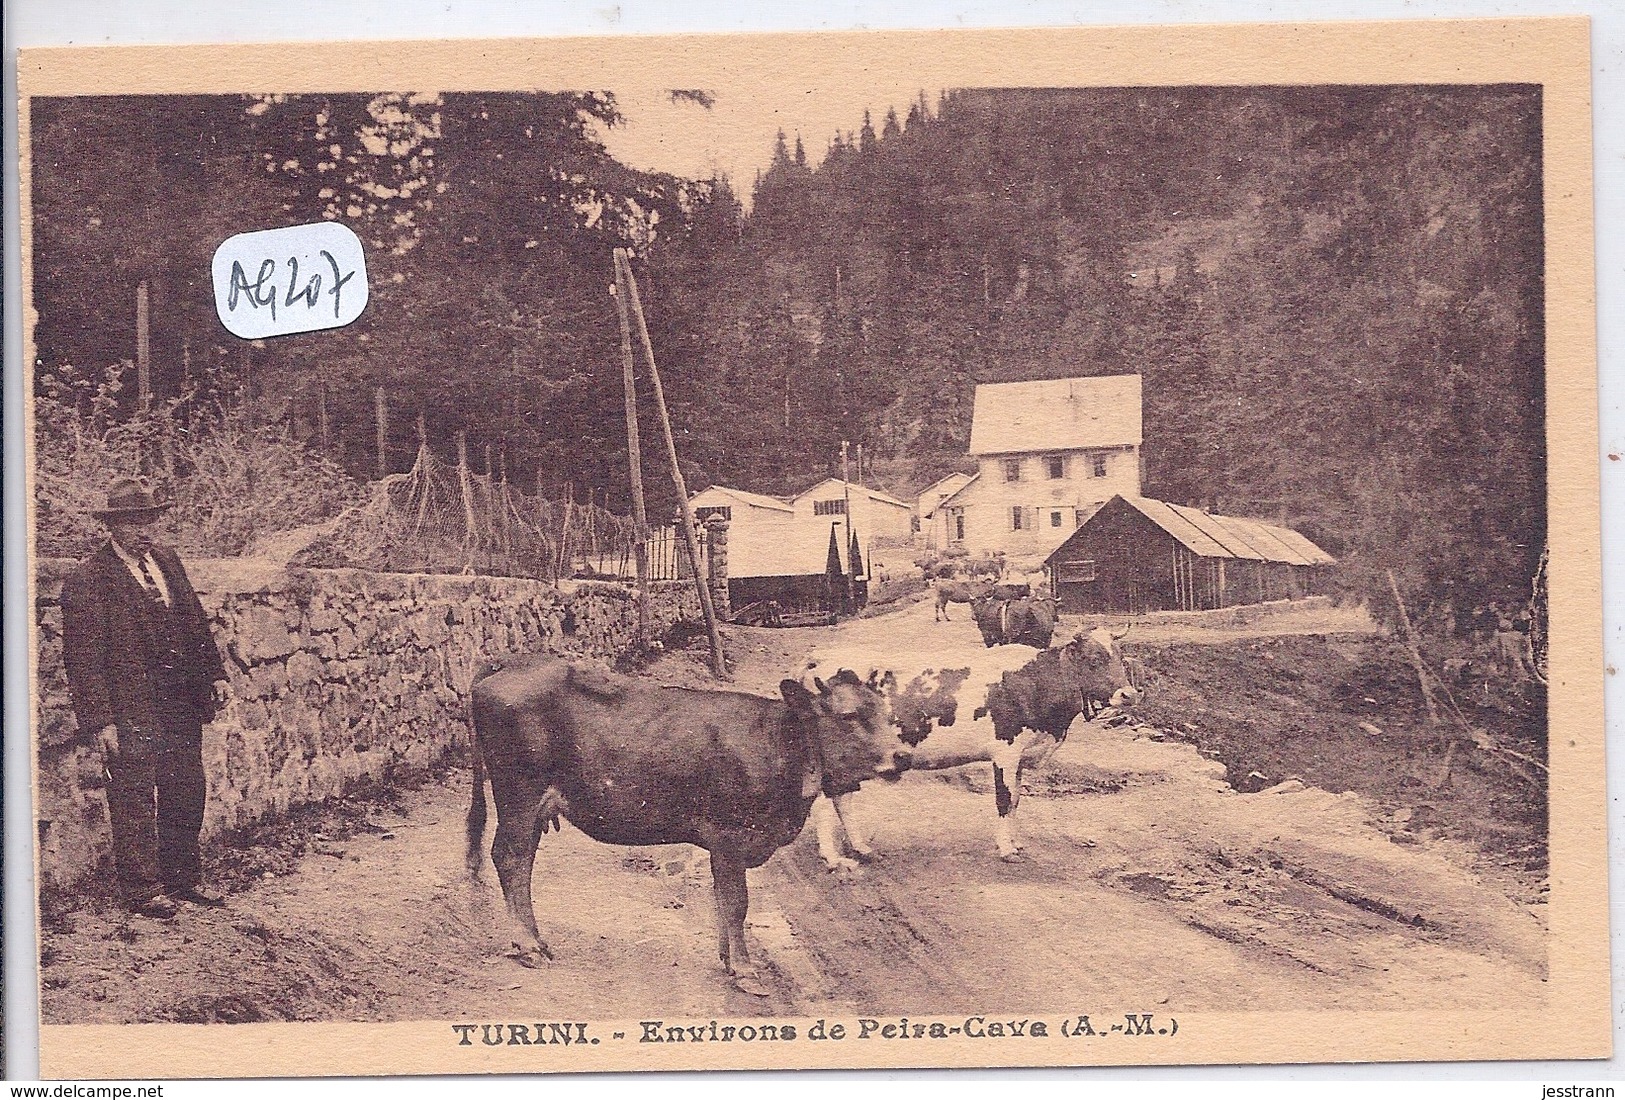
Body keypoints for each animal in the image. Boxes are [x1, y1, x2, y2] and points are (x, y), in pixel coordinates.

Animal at [468, 659, 903, 994]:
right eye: (849, 717)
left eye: (885, 714)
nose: (902, 755)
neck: (778, 744)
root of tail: (506, 666)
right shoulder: (729, 837)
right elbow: (737, 904)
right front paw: (745, 971)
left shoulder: (725, 846)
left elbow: (723, 901)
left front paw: (729, 961)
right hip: (519, 795)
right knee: (509, 858)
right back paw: (527, 947)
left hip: (532, 808)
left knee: (521, 862)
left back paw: (536, 940)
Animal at [799, 627, 1144, 864]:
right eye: (1094, 660)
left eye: (1121, 658)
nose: (1129, 695)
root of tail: (818, 658)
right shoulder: (1005, 752)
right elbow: (1004, 801)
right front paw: (1006, 850)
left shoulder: (1021, 757)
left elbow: (1016, 800)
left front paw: (1015, 843)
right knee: (825, 803)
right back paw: (832, 856)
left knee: (842, 800)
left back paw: (862, 848)